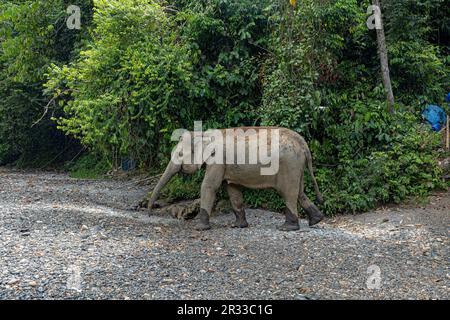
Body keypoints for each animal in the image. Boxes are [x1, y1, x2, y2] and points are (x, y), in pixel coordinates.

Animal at [146, 126, 326, 231]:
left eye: (180, 154)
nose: (149, 213)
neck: (204, 134)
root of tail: (303, 143)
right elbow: (233, 190)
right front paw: (238, 226)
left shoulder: (218, 160)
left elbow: (209, 186)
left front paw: (199, 228)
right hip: (296, 166)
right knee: (299, 192)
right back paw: (316, 220)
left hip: (289, 164)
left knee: (288, 193)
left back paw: (286, 228)